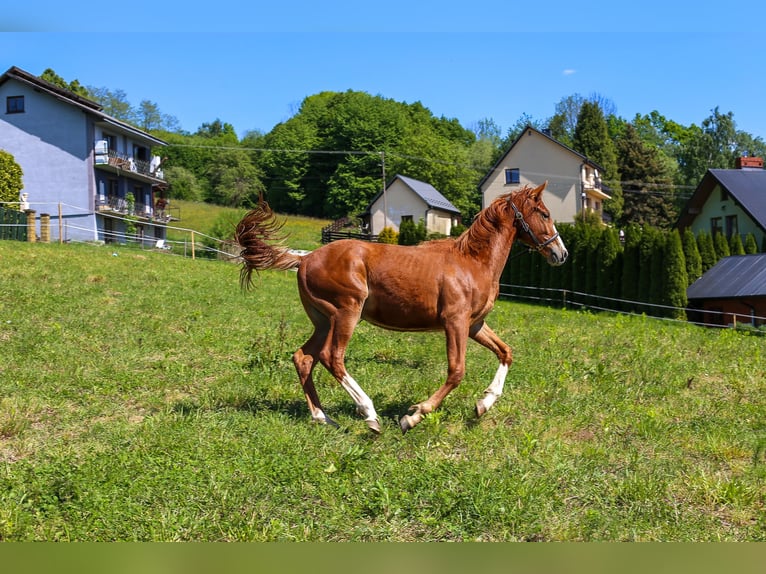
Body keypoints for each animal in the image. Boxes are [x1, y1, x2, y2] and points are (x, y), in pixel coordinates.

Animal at [237, 182, 568, 434]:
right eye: (544, 213)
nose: (560, 253)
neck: (472, 262)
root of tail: (304, 259)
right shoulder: (455, 322)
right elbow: (456, 371)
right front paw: (414, 414)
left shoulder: (474, 325)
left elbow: (506, 352)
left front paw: (483, 405)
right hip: (346, 313)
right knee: (332, 357)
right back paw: (369, 415)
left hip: (323, 320)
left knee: (304, 358)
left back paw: (323, 418)